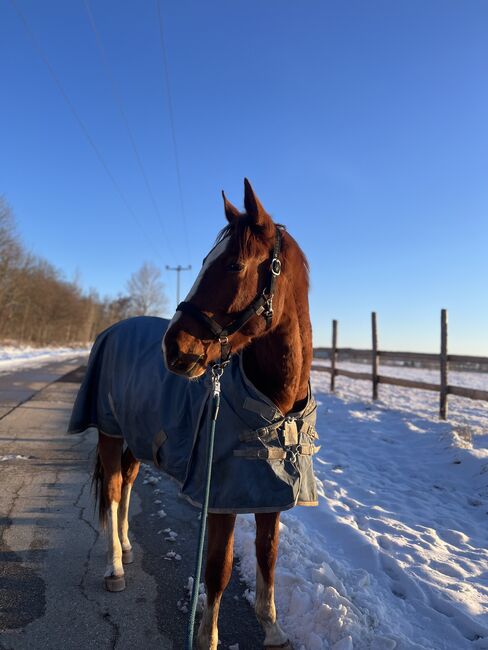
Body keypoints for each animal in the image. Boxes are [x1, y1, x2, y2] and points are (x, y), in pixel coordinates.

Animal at [68, 178, 316, 648]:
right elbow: (217, 570)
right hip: (109, 432)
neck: (274, 404)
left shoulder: (269, 494)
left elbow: (268, 556)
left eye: (234, 264)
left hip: (137, 437)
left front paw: (273, 629)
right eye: (204, 262)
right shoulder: (219, 498)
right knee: (113, 489)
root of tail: (111, 330)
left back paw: (126, 545)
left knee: (128, 481)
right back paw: (115, 566)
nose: (174, 348)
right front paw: (207, 638)